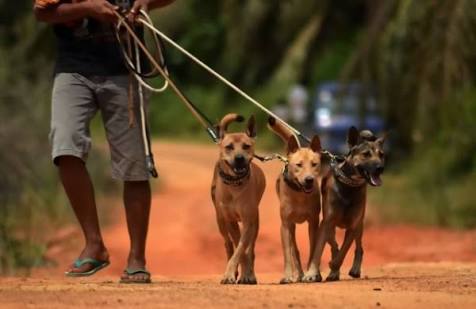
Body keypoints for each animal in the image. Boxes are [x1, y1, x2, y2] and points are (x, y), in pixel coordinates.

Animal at [211, 113, 266, 284]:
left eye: (246, 146)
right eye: (229, 147)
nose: (239, 158)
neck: (235, 185)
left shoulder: (249, 221)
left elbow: (242, 249)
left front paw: (247, 274)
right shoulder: (230, 221)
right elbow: (238, 248)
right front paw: (232, 273)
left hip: (256, 221)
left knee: (250, 248)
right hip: (220, 220)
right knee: (228, 244)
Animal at [268, 116, 334, 282]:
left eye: (314, 164)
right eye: (298, 165)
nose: (309, 180)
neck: (300, 194)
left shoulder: (313, 222)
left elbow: (313, 249)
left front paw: (314, 274)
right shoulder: (285, 225)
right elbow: (287, 254)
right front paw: (287, 276)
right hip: (291, 228)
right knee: (294, 251)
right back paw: (297, 274)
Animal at [304, 125, 386, 282]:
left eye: (382, 155)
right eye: (366, 154)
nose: (380, 168)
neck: (350, 185)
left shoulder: (353, 226)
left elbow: (343, 252)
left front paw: (334, 267)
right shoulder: (327, 222)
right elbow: (318, 251)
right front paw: (312, 273)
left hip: (360, 226)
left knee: (359, 248)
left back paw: (353, 269)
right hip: (329, 227)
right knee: (333, 244)